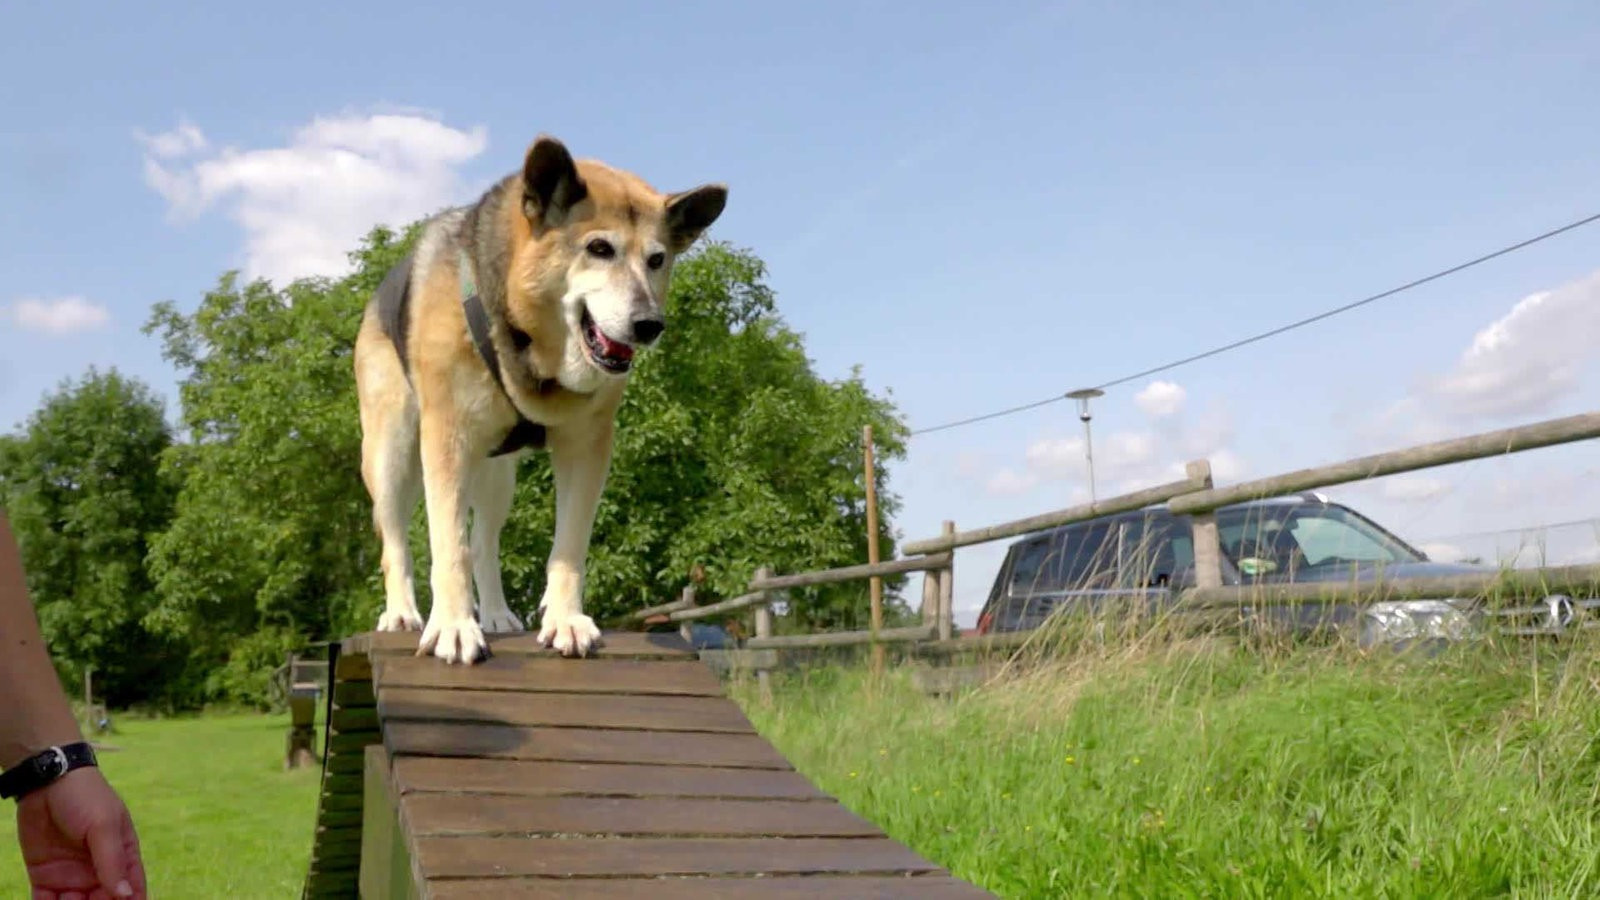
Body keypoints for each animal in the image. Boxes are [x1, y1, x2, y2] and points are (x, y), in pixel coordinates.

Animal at [353, 136, 729, 662]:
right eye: (599, 248)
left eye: (657, 260)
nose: (649, 325)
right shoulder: (446, 439)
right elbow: (448, 545)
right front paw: (453, 625)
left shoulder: (586, 447)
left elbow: (568, 545)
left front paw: (565, 619)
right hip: (390, 454)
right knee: (397, 545)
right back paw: (402, 614)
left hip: (497, 479)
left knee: (485, 543)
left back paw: (493, 613)